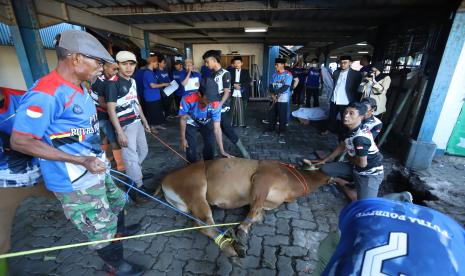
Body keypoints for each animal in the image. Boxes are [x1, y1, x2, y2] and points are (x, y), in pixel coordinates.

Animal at [160, 157, 330, 258]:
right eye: (318, 167)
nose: (331, 177)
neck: (291, 180)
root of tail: (165, 178)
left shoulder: (268, 203)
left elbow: (257, 213)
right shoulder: (262, 180)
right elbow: (254, 210)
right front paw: (241, 231)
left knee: (197, 222)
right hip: (195, 189)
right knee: (205, 223)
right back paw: (230, 248)